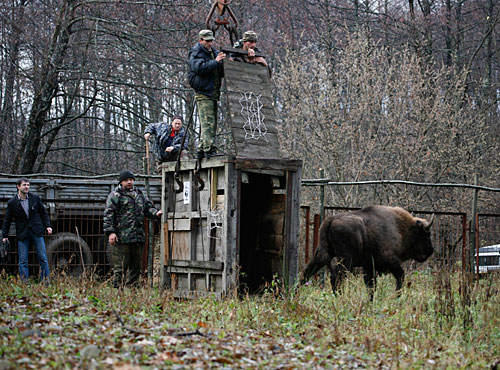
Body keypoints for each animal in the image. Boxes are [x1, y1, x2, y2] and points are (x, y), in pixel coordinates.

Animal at [300, 205, 434, 294]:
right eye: (426, 234)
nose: (430, 251)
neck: (400, 228)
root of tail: (330, 219)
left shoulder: (369, 266)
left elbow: (371, 286)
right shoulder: (391, 261)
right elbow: (400, 276)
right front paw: (397, 296)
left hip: (321, 255)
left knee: (307, 272)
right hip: (346, 260)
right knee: (336, 277)